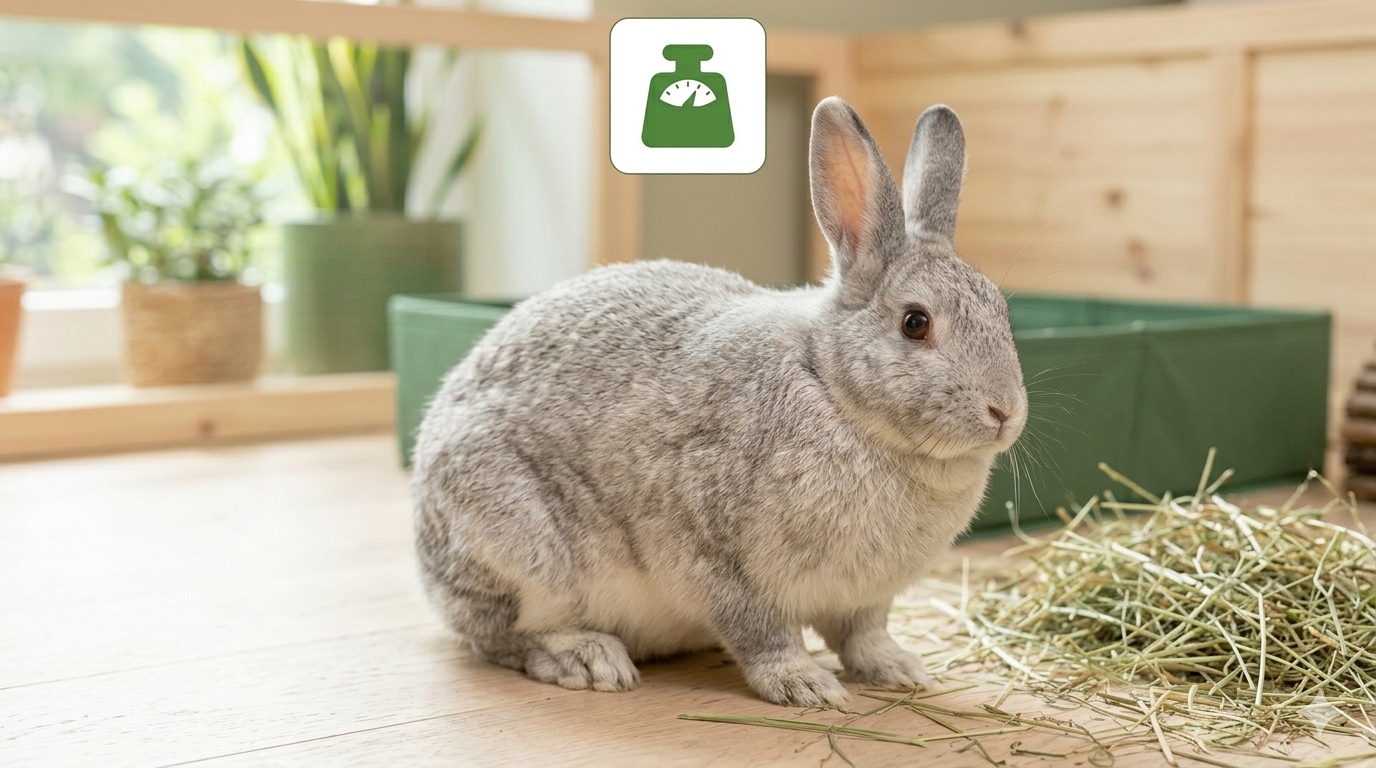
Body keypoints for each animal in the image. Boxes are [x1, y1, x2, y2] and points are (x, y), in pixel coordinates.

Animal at [411, 96, 1027, 708]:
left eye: (1002, 311)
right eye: (915, 323)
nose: (1005, 412)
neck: (831, 388)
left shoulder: (865, 598)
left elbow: (864, 634)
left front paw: (900, 669)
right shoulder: (716, 560)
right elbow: (763, 634)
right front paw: (806, 686)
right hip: (517, 546)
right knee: (504, 636)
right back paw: (589, 660)